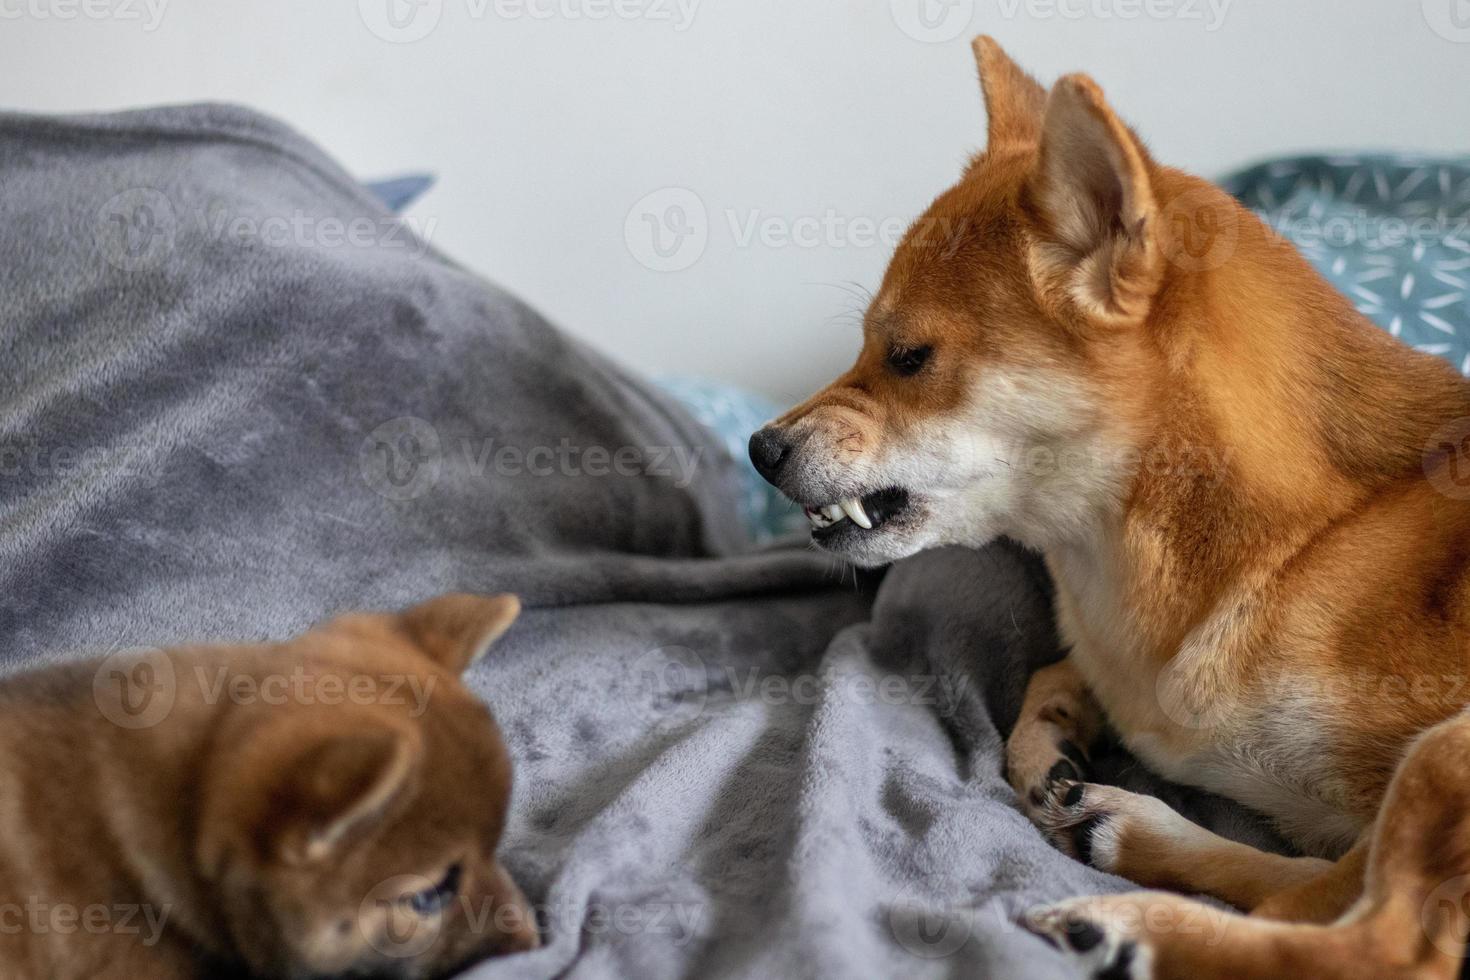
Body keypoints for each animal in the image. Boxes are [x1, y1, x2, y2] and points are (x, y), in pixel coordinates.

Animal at [752, 36, 1470, 980]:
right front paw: (1048, 743)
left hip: (1445, 752)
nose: (760, 449)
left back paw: (1131, 920)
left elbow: (1326, 892)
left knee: (1376, 942)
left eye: (907, 357)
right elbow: (1054, 673)